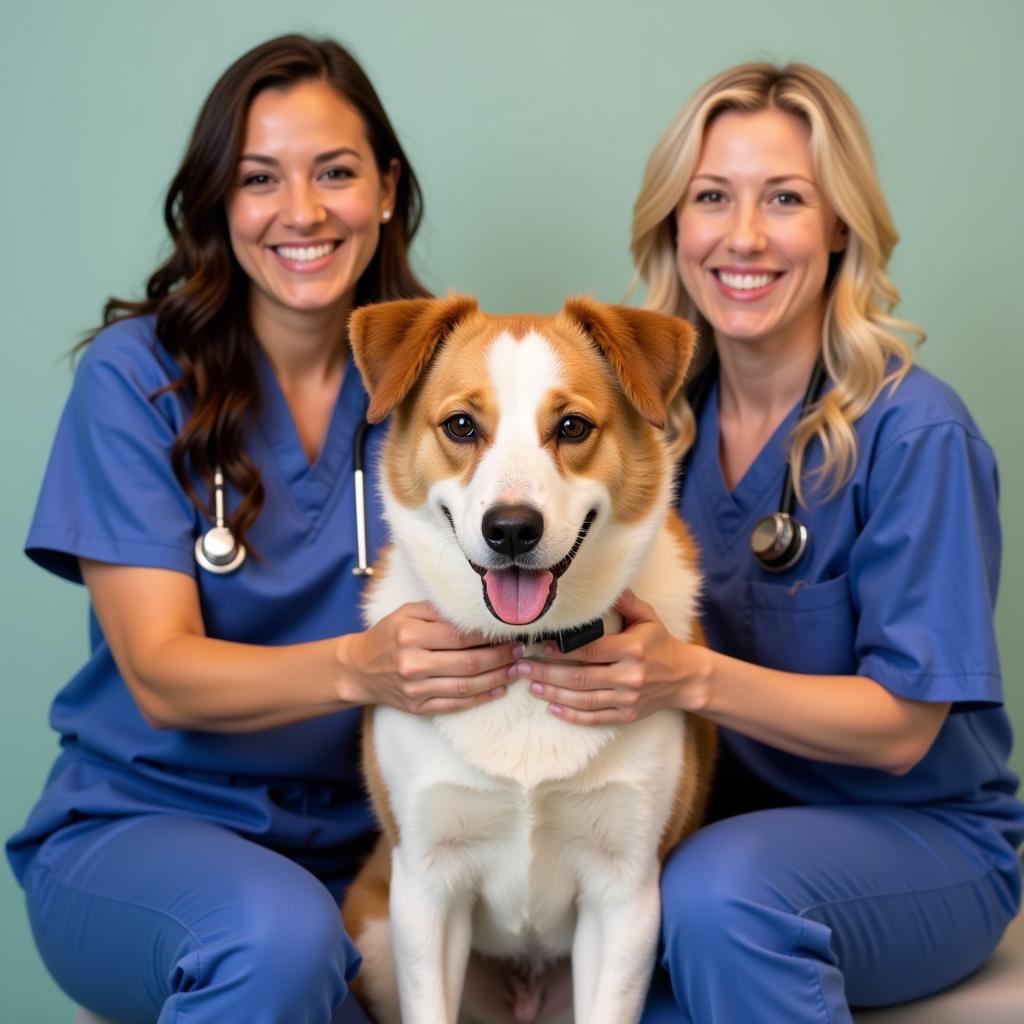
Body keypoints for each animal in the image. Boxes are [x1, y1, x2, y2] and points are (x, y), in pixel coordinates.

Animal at [339, 296, 716, 1024]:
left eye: (572, 426)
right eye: (461, 425)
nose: (512, 529)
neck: (524, 652)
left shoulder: (625, 895)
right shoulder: (424, 887)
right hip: (371, 938)